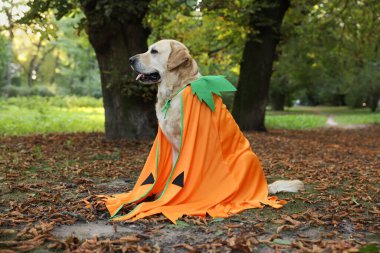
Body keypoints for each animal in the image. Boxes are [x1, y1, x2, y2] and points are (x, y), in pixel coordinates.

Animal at [129, 39, 304, 194]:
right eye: (148, 49)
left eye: (154, 51)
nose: (130, 60)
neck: (175, 91)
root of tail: (265, 187)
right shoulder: (174, 147)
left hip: (245, 157)